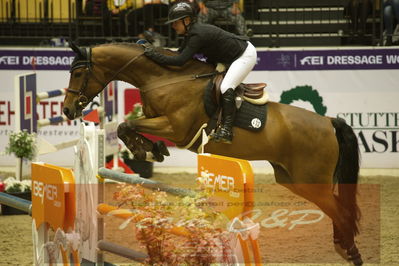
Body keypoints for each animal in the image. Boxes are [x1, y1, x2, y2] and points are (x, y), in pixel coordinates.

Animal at [64, 42, 364, 264]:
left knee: (341, 211)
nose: (67, 110)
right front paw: (151, 150)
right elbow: (128, 126)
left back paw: (351, 252)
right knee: (338, 209)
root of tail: (329, 122)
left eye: (77, 74)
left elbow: (127, 125)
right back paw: (344, 247)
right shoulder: (158, 121)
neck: (163, 78)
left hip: (311, 181)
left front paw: (147, 151)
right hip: (292, 179)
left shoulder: (175, 128)